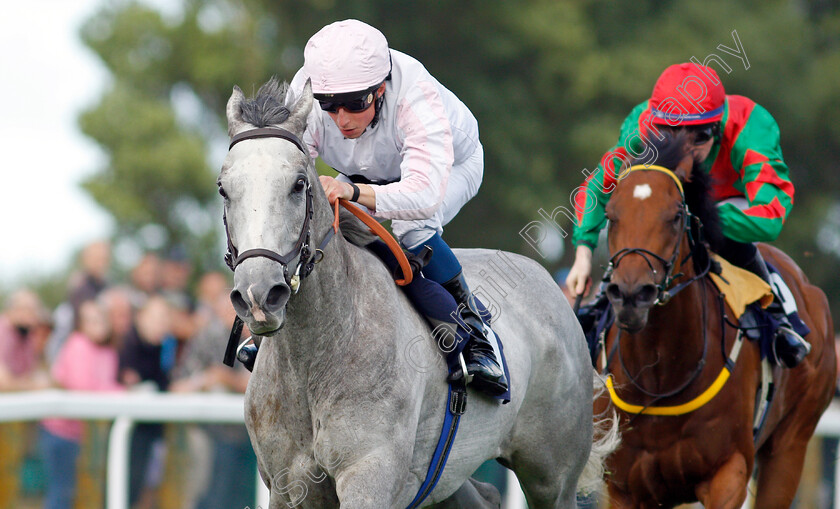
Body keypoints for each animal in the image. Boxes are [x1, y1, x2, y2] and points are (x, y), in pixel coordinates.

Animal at [220, 77, 616, 506]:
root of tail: (548, 283)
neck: (316, 359)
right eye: (224, 189)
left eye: (298, 184)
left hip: (553, 477)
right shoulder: (288, 484)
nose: (259, 294)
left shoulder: (370, 475)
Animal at [592, 133, 836, 506]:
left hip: (792, 444)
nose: (632, 295)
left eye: (676, 215)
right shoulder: (623, 487)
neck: (659, 377)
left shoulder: (728, 473)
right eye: (610, 214)